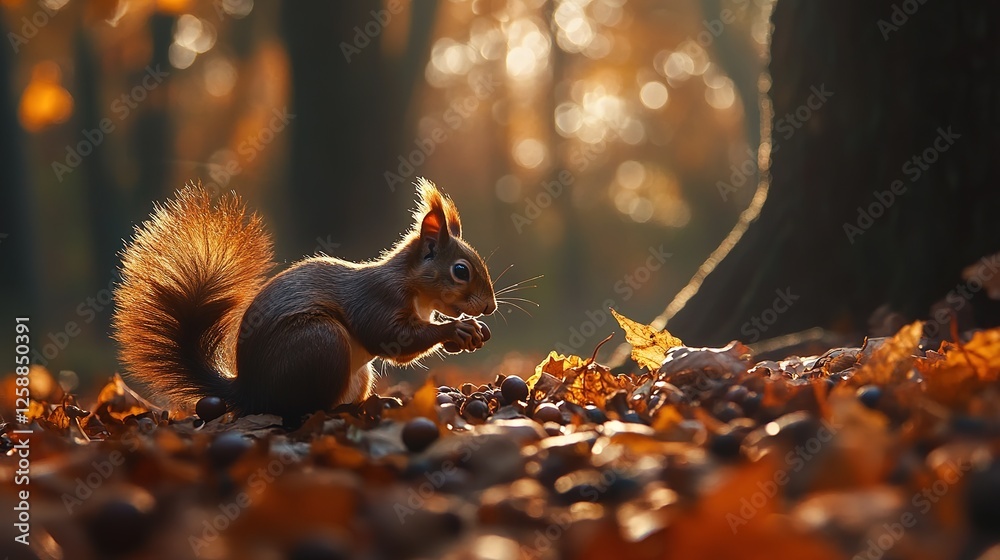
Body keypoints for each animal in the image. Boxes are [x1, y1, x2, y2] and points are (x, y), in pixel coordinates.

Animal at [112, 179, 497, 419]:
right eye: (460, 270)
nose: (490, 307)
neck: (416, 291)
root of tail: (251, 391)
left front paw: (469, 333)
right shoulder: (378, 300)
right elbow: (392, 339)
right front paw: (455, 330)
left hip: (356, 372)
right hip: (321, 342)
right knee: (310, 409)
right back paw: (358, 408)